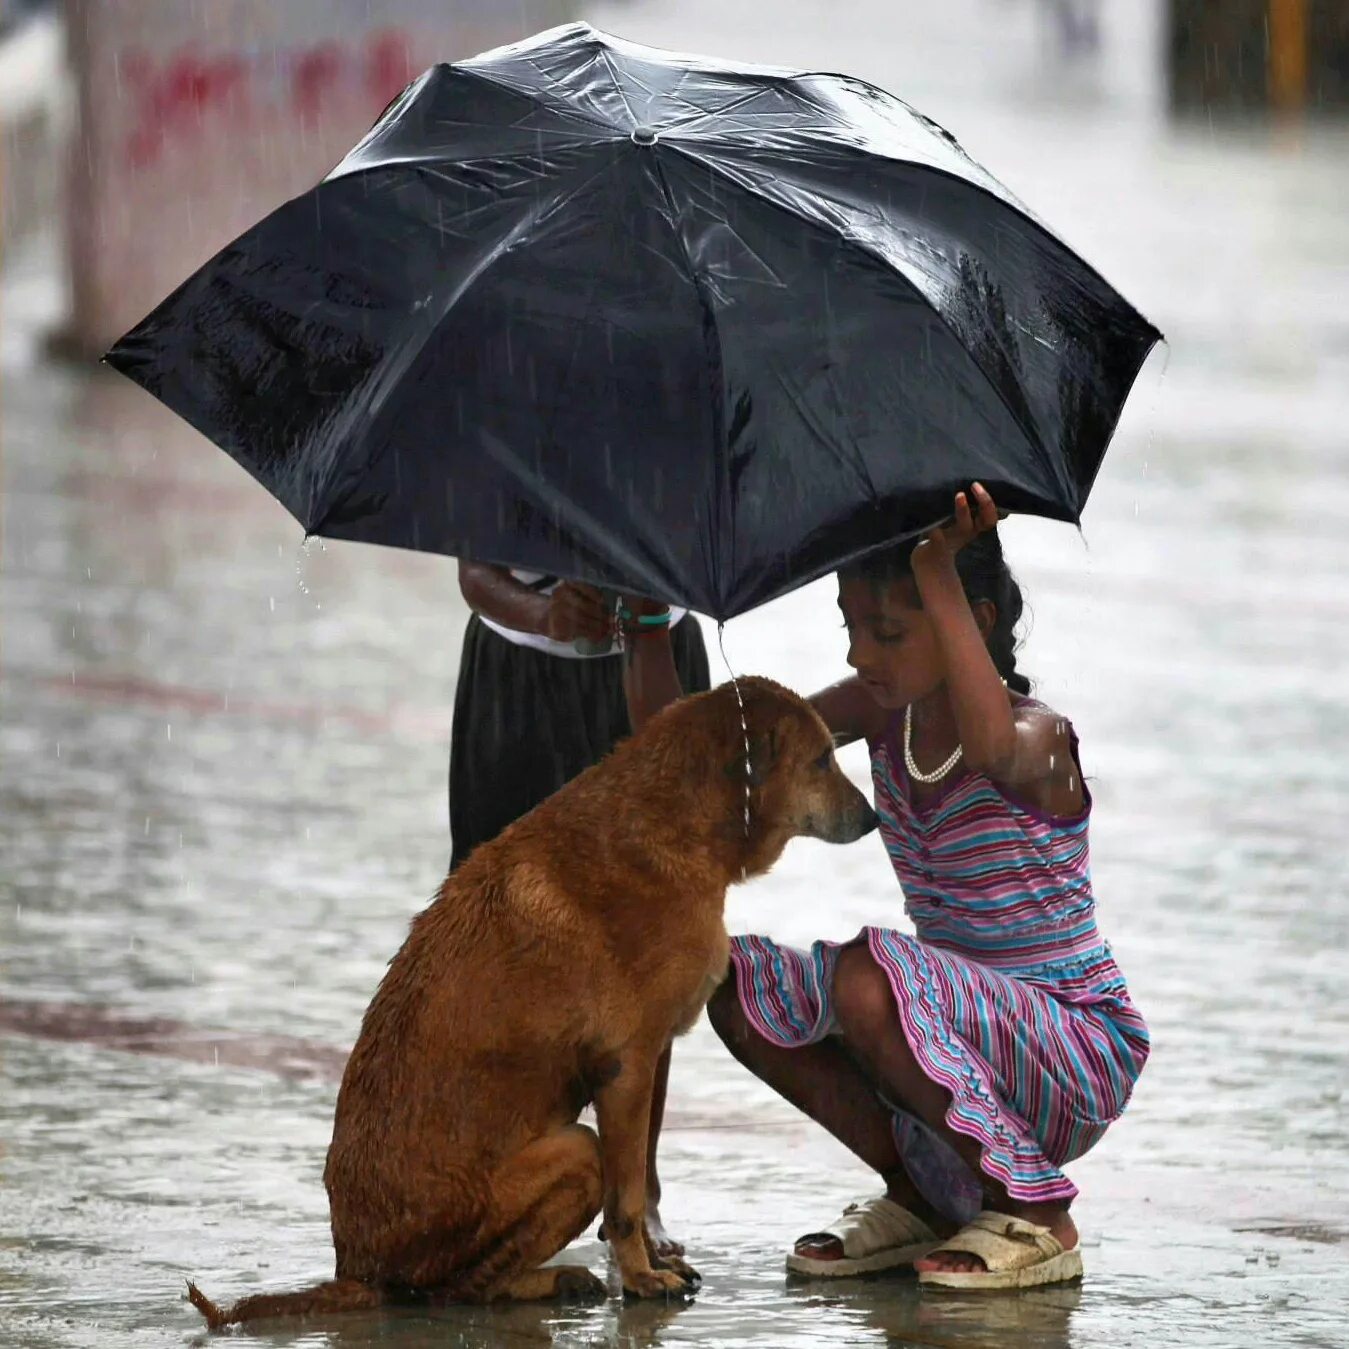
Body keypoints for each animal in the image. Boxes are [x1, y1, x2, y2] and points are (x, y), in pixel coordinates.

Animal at [187, 674, 874, 1327]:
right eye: (821, 760)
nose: (871, 818)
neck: (672, 821)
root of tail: (356, 1271)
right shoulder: (628, 1068)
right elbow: (628, 1202)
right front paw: (642, 1277)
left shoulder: (645, 1063)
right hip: (575, 1154)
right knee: (456, 1291)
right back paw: (550, 1281)